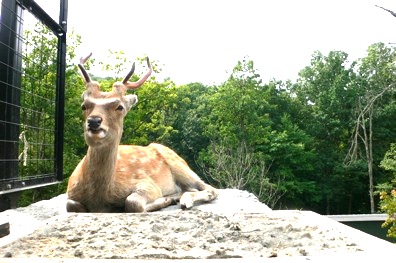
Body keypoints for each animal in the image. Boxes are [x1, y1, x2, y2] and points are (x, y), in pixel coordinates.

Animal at [66, 54, 218, 213]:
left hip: (180, 165)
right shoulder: (70, 192)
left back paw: (183, 200)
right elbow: (71, 205)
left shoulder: (148, 183)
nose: (94, 121)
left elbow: (133, 203)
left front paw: (165, 200)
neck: (100, 199)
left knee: (210, 188)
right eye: (84, 106)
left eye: (120, 107)